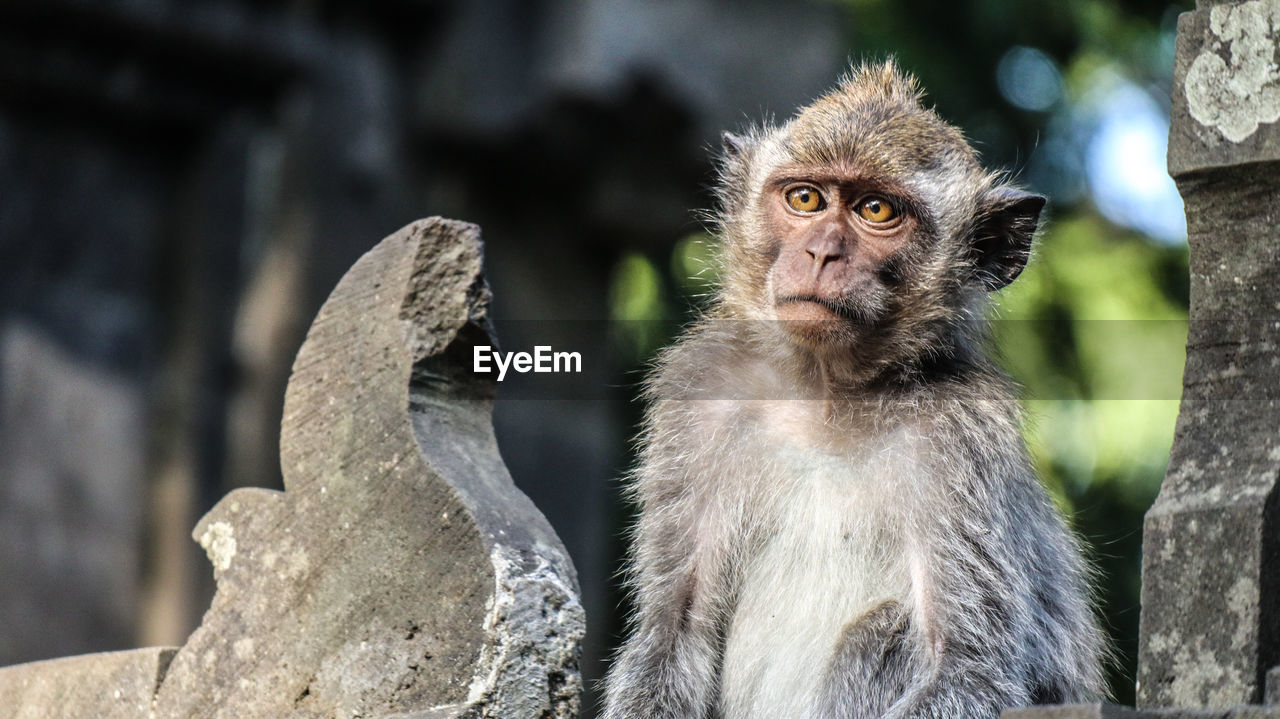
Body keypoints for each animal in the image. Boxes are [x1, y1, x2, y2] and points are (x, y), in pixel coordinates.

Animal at [593, 61, 1105, 716]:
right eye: (805, 198)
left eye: (877, 210)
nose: (821, 252)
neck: (827, 397)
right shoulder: (701, 397)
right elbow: (673, 632)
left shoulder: (962, 436)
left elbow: (968, 667)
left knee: (888, 631)